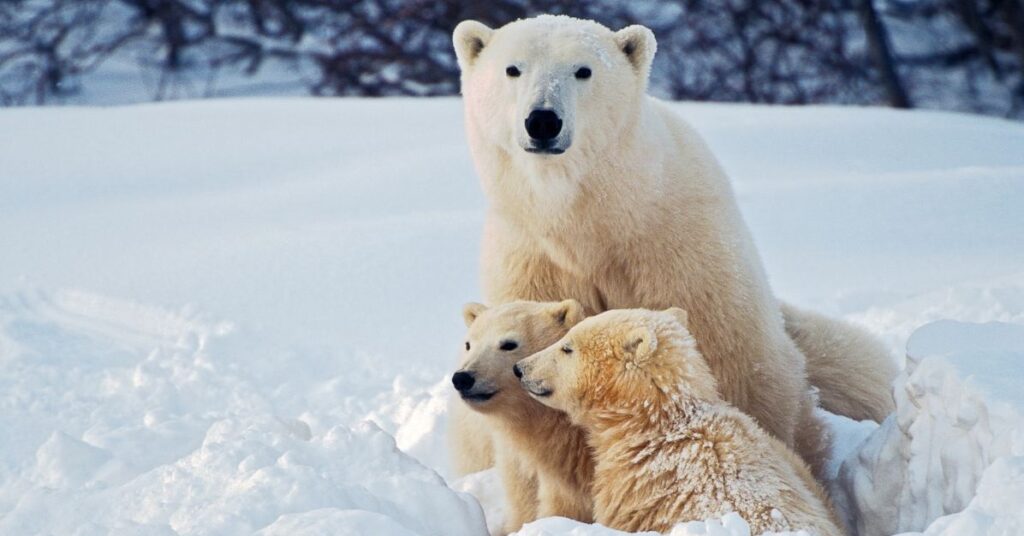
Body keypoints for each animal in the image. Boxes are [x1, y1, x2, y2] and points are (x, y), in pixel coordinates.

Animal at [450, 13, 897, 473]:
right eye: (513, 69)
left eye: (583, 70)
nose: (542, 120)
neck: (592, 220)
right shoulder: (532, 260)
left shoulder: (676, 247)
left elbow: (734, 360)